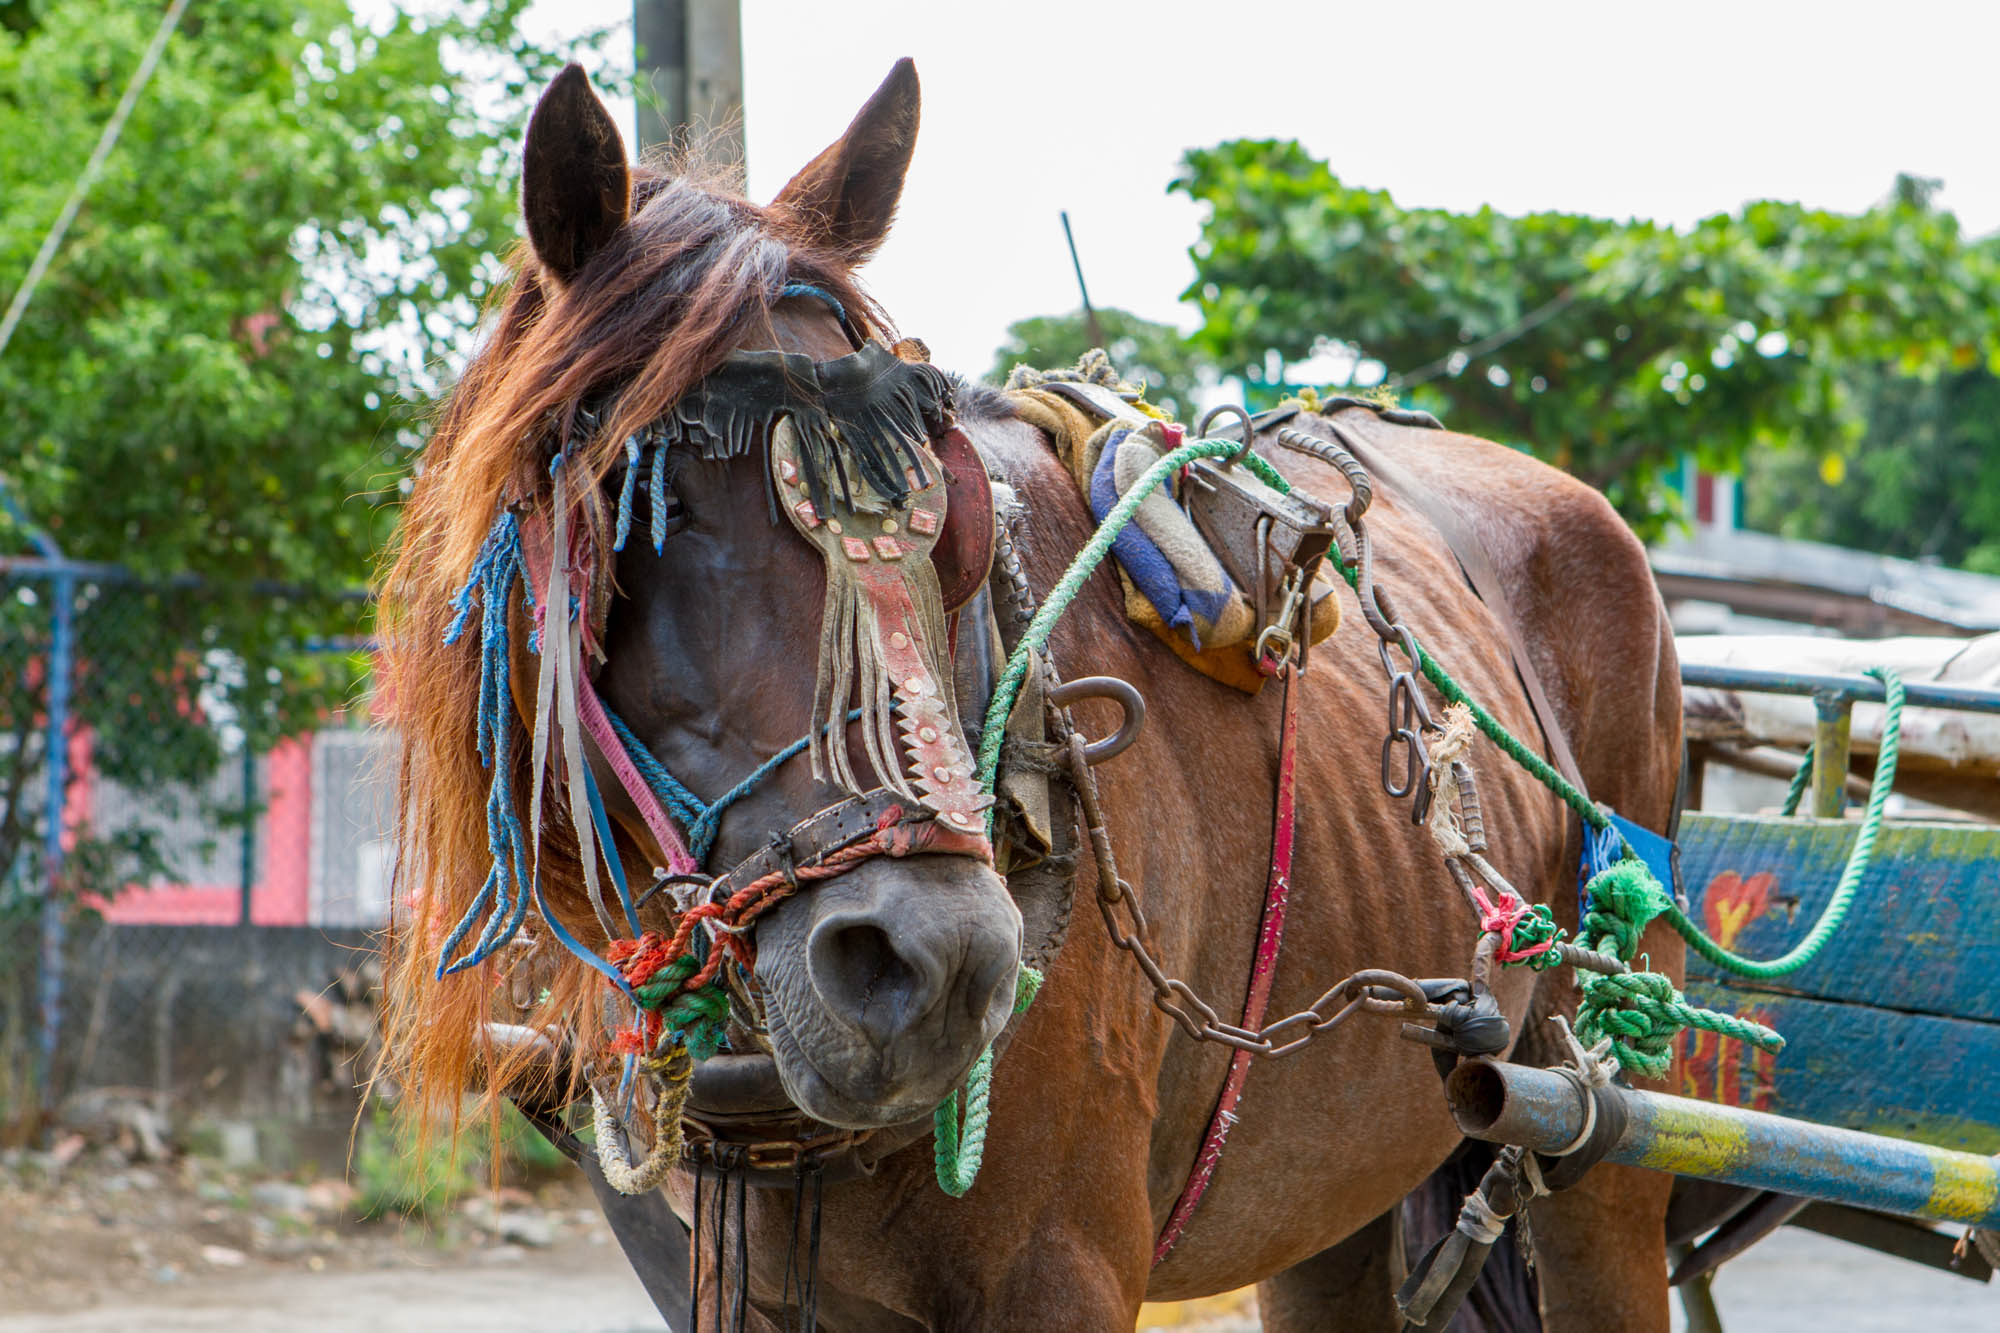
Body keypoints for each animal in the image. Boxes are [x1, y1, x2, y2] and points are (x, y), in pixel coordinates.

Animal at [382, 57, 1680, 1320]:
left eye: (942, 513)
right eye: (645, 512)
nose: (938, 967)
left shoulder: (1060, 1270)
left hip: (1596, 1125)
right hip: (1331, 1182)